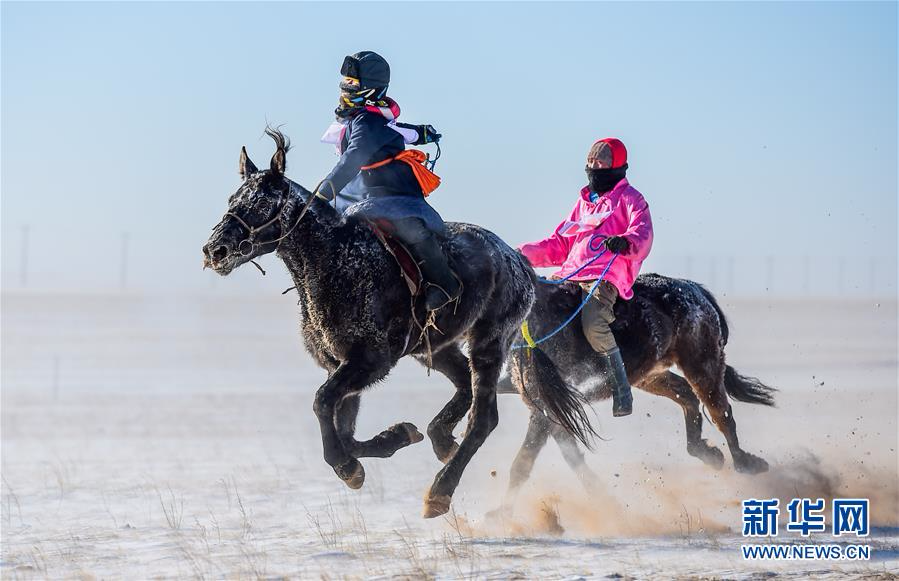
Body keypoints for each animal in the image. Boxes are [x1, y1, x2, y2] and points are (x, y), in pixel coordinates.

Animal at [206, 130, 596, 516]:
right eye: (232, 198)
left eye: (261, 202)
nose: (214, 251)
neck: (335, 263)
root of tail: (518, 262)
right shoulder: (341, 364)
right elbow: (344, 428)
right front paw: (396, 437)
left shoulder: (369, 361)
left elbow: (322, 403)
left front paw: (348, 467)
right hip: (435, 349)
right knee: (464, 388)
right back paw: (441, 440)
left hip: (489, 342)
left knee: (483, 417)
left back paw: (440, 490)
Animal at [496, 274, 776, 506]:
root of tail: (695, 290)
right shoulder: (546, 407)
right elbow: (563, 454)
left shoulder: (548, 407)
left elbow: (527, 459)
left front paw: (500, 514)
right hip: (651, 376)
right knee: (686, 396)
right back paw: (707, 452)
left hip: (703, 364)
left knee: (721, 413)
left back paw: (746, 462)